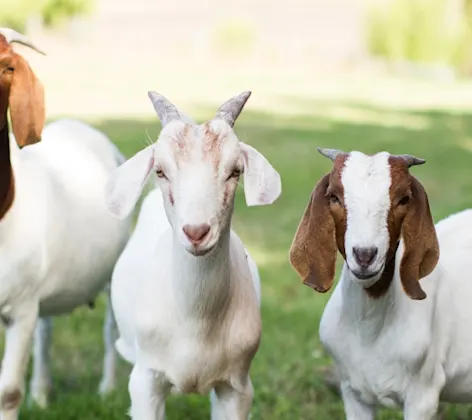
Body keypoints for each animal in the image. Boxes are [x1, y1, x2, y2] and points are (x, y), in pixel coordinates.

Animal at [0, 28, 130, 416]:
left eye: (8, 66)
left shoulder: (20, 308)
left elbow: (8, 392)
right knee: (45, 330)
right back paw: (42, 394)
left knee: (111, 329)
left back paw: (107, 390)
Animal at [106, 90, 280, 418]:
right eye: (160, 171)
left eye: (235, 171)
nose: (196, 232)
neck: (195, 322)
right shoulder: (146, 380)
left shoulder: (237, 386)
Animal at [288, 147, 472, 416]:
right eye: (334, 197)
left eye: (404, 199)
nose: (365, 255)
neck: (370, 329)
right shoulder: (352, 392)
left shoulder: (423, 396)